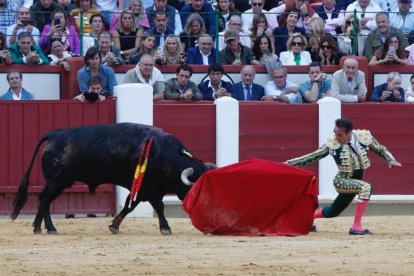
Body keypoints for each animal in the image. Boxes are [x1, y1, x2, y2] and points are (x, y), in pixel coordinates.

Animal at [11, 123, 215, 235]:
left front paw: (114, 226)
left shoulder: (139, 189)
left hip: (55, 182)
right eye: (195, 187)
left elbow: (128, 206)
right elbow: (159, 206)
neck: (165, 155)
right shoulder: (148, 188)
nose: (204, 209)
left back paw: (38, 227)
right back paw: (51, 228)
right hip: (58, 182)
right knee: (45, 200)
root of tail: (55, 134)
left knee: (42, 199)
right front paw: (165, 228)